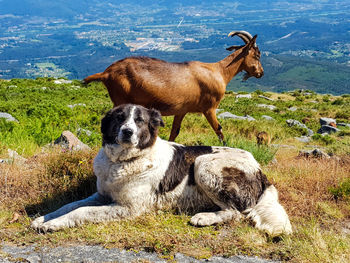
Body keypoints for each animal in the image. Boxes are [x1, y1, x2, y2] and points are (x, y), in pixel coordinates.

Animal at [31, 104, 292, 236]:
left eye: (140, 121)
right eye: (119, 118)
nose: (127, 132)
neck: (122, 161)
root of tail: (260, 171)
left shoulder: (129, 208)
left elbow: (81, 211)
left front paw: (53, 224)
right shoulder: (101, 195)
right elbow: (70, 205)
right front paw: (44, 218)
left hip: (204, 163)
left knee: (236, 212)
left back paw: (204, 217)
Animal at [83, 31, 262, 142]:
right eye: (257, 55)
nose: (261, 72)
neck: (219, 72)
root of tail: (106, 73)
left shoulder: (181, 111)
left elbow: (175, 131)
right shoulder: (209, 108)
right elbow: (218, 129)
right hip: (120, 99)